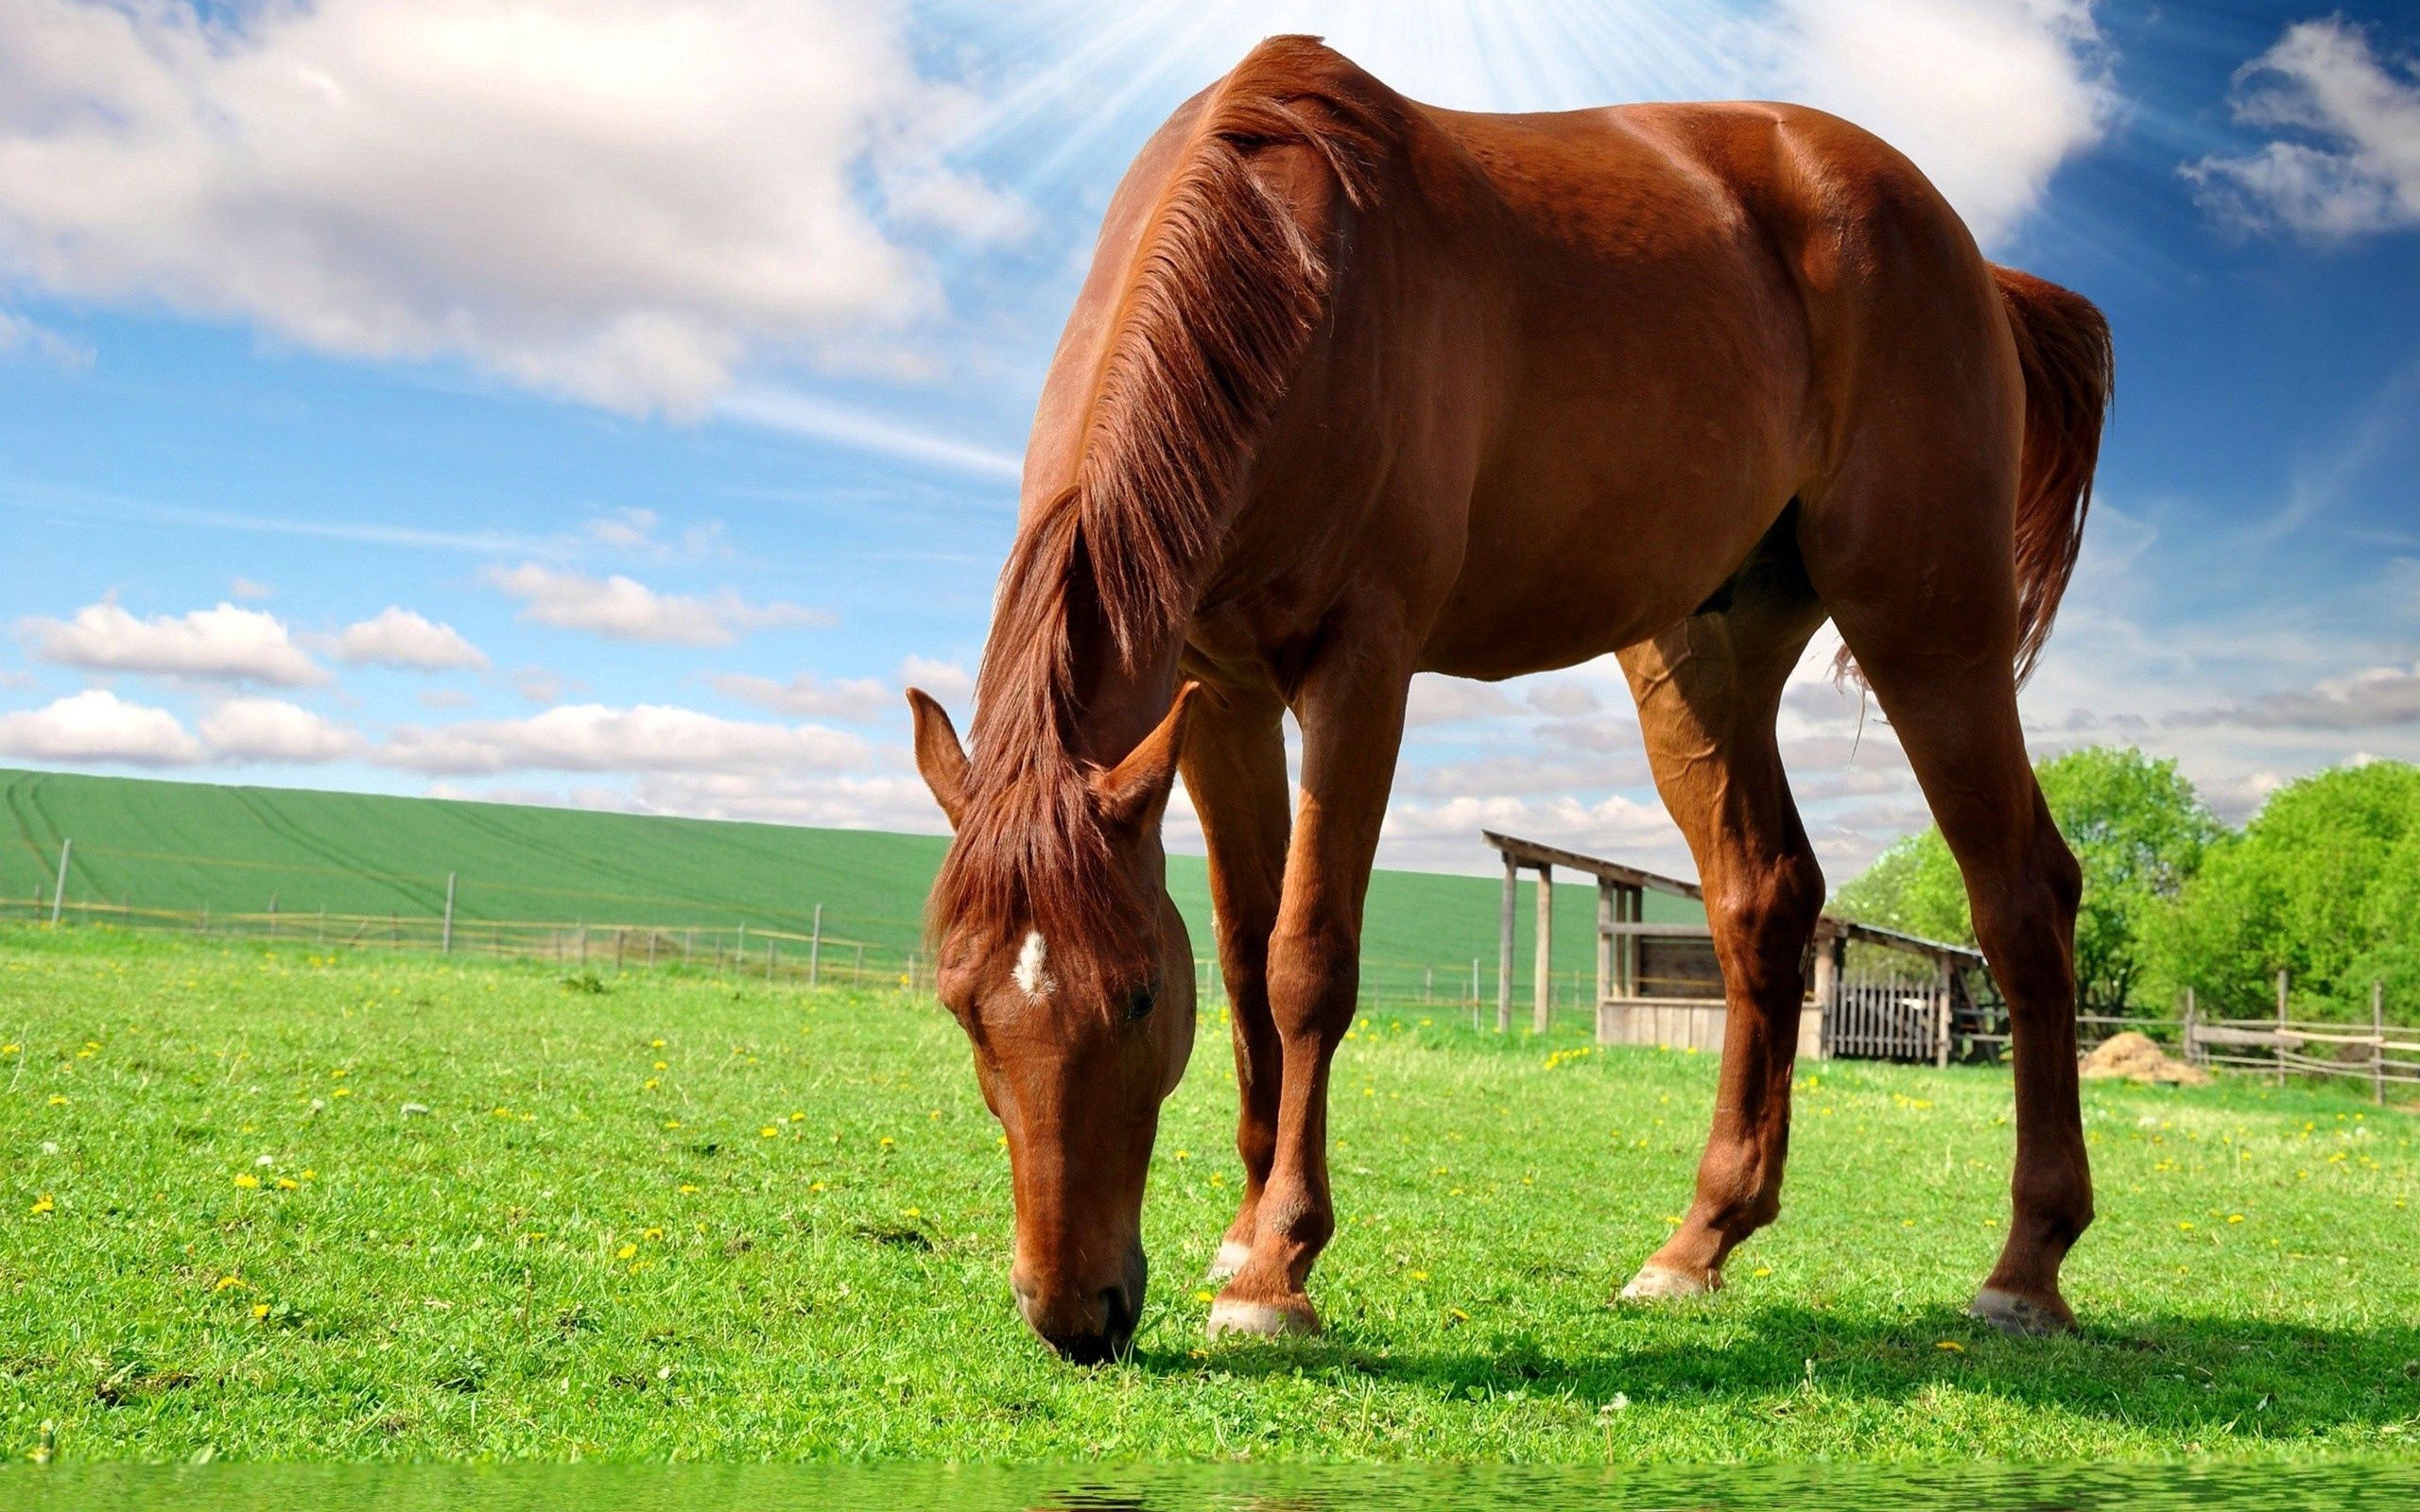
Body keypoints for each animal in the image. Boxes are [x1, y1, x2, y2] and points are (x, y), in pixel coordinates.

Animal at [905, 35, 2100, 1364]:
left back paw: (2026, 1266)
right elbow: (1246, 950)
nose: (1075, 1314)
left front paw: (1276, 1268)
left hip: (1928, 624)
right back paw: (1698, 1242)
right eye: (962, 1007)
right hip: (1703, 655)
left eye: (1137, 996)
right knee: (1763, 899)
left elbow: (1304, 959)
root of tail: (1969, 258)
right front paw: (1243, 1227)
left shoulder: (1360, 667)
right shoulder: (1217, 693)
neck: (1299, 282)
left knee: (2023, 898)